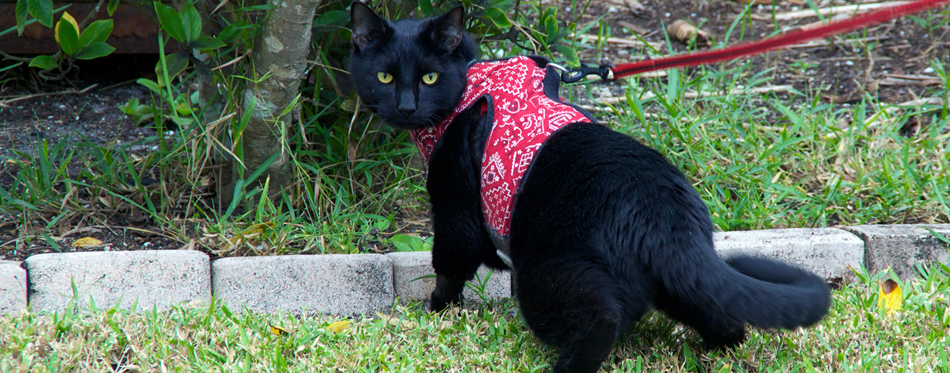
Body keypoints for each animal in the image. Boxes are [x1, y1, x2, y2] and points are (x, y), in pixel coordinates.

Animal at [350, 3, 832, 372]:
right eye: (385, 77)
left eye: (429, 78)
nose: (406, 106)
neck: (469, 81)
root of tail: (665, 218)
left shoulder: (454, 207)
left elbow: (449, 264)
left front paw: (435, 311)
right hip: (680, 283)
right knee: (726, 318)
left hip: (552, 272)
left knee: (599, 321)